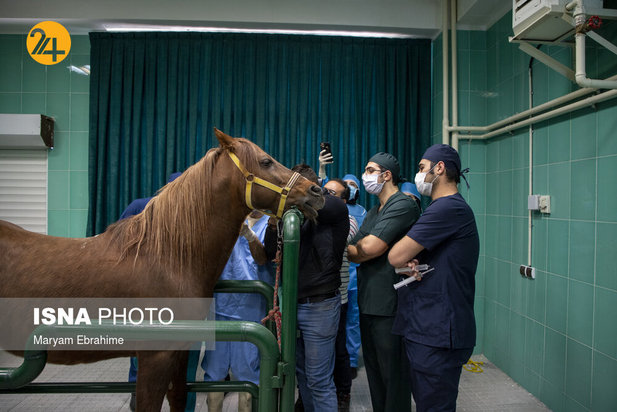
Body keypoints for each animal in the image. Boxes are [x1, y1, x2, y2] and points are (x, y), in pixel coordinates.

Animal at [0, 128, 324, 408]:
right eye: (265, 160)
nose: (316, 191)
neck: (167, 259)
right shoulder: (155, 357)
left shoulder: (179, 352)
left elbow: (178, 397)